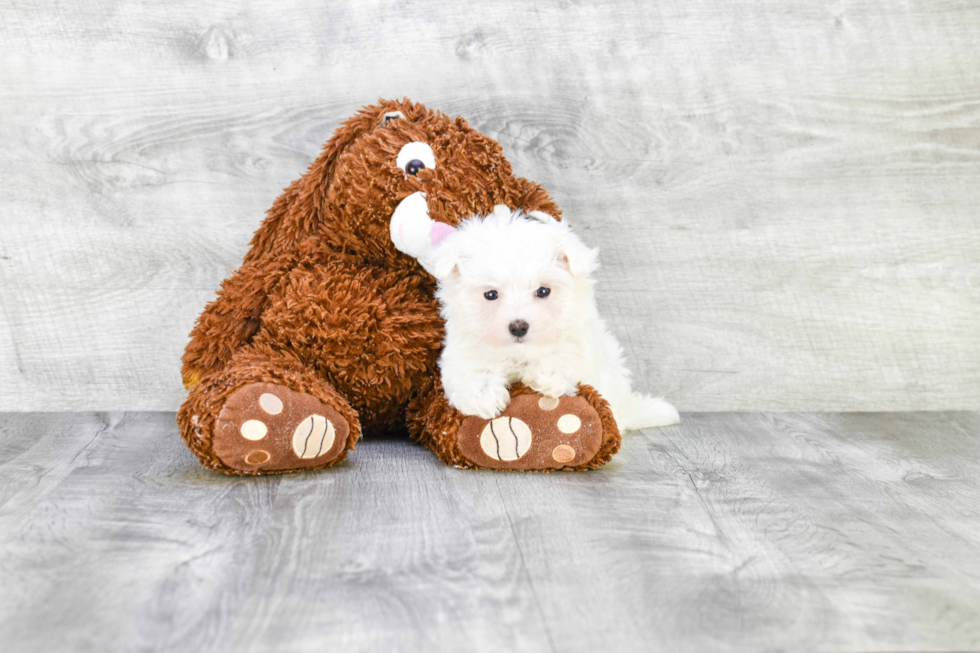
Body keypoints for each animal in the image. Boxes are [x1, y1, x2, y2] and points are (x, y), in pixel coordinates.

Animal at [432, 204, 676, 428]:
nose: (518, 326)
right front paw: (484, 396)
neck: (520, 355)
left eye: (543, 291)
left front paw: (546, 375)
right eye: (490, 294)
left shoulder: (581, 346)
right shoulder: (463, 351)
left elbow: (564, 358)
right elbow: (469, 372)